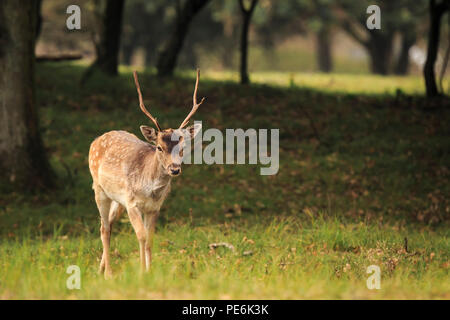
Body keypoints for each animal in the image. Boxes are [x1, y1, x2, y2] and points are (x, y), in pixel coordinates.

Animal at [89, 70, 205, 278]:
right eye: (159, 147)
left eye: (183, 148)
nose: (174, 169)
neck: (150, 190)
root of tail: (96, 140)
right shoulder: (132, 203)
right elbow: (141, 236)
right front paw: (143, 272)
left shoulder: (154, 208)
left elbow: (150, 238)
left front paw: (150, 272)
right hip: (99, 189)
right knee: (103, 228)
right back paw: (108, 273)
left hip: (118, 200)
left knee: (109, 223)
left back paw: (100, 268)